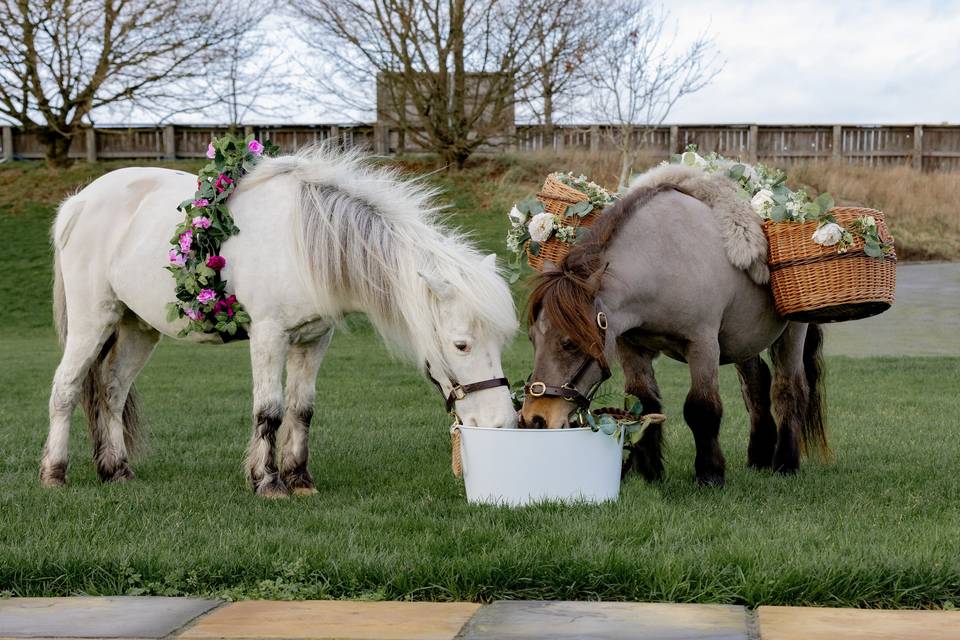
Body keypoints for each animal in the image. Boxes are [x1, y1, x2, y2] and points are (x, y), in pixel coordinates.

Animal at [41, 148, 519, 497]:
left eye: (501, 343)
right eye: (461, 345)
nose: (502, 423)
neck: (303, 241)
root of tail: (77, 203)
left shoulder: (313, 339)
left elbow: (300, 408)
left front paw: (299, 479)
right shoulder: (269, 336)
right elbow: (268, 410)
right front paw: (268, 482)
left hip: (138, 328)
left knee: (111, 391)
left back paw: (117, 470)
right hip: (92, 321)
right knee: (65, 388)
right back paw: (55, 473)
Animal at [520, 178, 828, 487]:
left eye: (570, 343)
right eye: (532, 339)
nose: (534, 419)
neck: (663, 259)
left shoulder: (702, 344)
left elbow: (702, 408)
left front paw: (710, 473)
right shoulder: (631, 347)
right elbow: (645, 403)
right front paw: (649, 471)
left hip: (792, 331)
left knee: (789, 389)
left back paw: (786, 463)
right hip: (745, 340)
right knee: (755, 385)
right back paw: (759, 456)